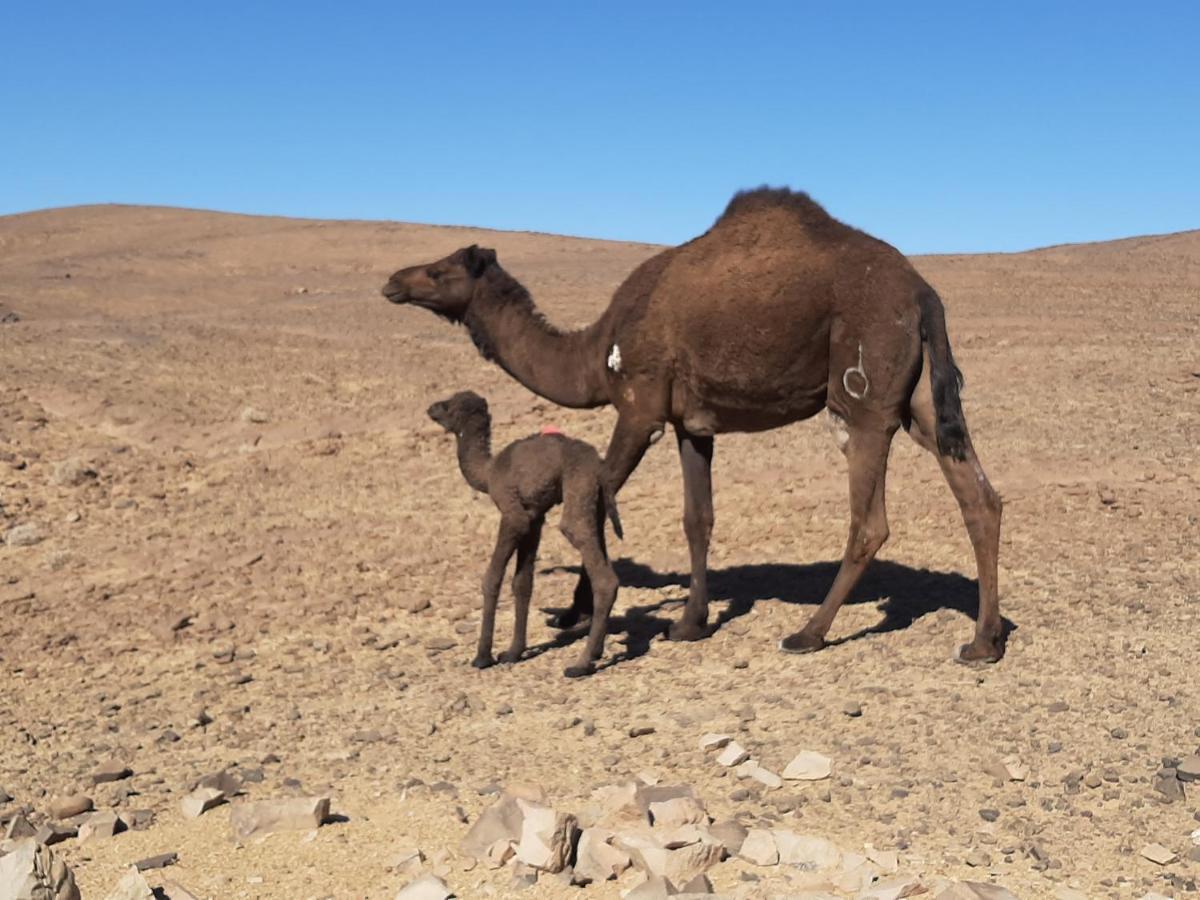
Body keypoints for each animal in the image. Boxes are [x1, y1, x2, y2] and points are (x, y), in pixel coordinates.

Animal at [429, 391, 619, 681]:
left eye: (446, 405)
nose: (430, 409)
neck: (488, 472)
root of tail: (598, 466)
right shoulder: (534, 517)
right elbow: (522, 583)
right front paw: (513, 652)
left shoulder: (512, 513)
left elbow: (492, 578)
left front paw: (482, 657)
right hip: (595, 504)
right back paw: (595, 651)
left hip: (578, 488)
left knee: (598, 569)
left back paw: (580, 665)